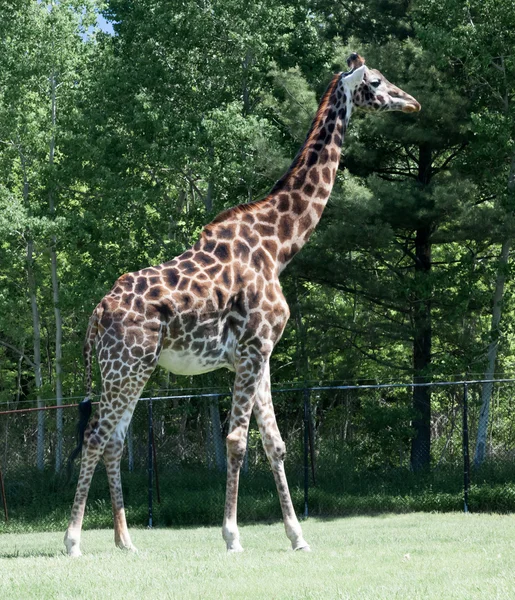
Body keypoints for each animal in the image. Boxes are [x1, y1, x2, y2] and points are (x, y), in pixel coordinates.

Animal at [64, 54, 420, 556]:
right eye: (376, 80)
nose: (412, 102)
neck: (280, 245)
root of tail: (97, 313)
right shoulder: (253, 349)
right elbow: (236, 440)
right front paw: (232, 535)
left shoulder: (260, 353)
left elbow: (276, 443)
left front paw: (298, 536)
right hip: (125, 366)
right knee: (96, 435)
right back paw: (73, 540)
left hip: (130, 369)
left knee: (114, 438)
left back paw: (126, 541)